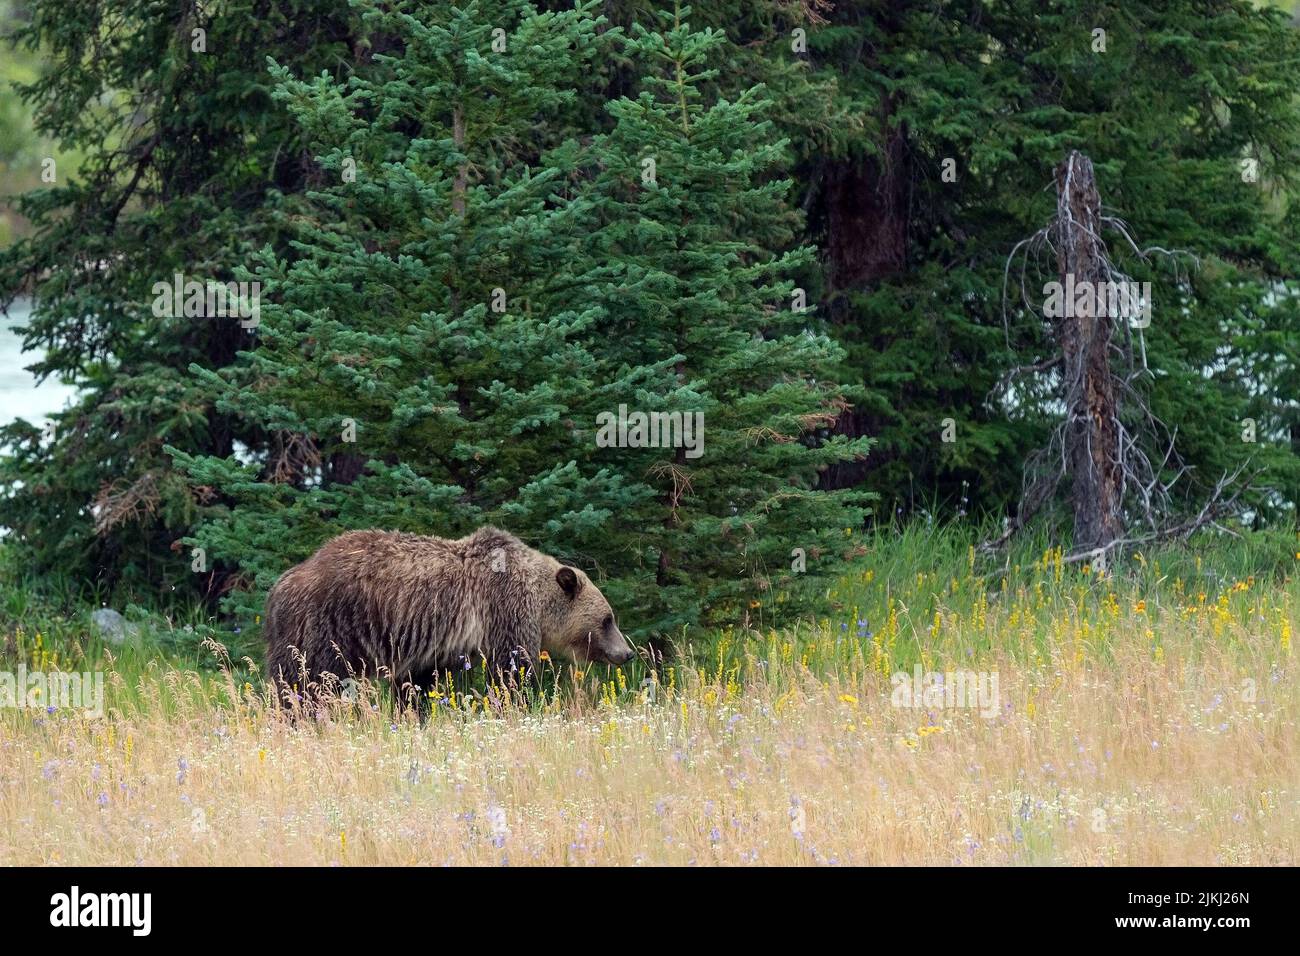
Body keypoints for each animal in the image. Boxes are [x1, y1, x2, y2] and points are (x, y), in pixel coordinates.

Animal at [261, 528, 631, 691]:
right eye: (608, 619)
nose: (627, 653)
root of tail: (281, 585)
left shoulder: (426, 646)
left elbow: (418, 684)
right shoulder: (504, 611)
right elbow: (512, 667)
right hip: (326, 628)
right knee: (306, 681)